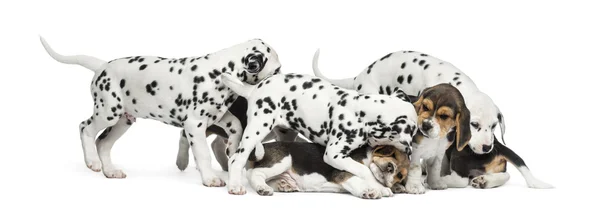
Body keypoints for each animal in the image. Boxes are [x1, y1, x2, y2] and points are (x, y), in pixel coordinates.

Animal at [39, 36, 282, 186]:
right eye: (277, 70)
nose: (281, 81)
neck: (220, 71)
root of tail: (102, 66)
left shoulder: (219, 116)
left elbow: (237, 127)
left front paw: (232, 148)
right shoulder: (194, 124)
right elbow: (203, 154)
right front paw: (210, 179)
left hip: (123, 121)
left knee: (103, 143)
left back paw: (110, 170)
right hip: (109, 111)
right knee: (86, 128)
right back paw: (93, 162)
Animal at [218, 72, 420, 196]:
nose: (411, 152)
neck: (361, 112)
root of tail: (253, 89)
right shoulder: (334, 155)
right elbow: (364, 170)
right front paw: (378, 187)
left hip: (284, 134)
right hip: (258, 128)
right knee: (237, 159)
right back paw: (235, 186)